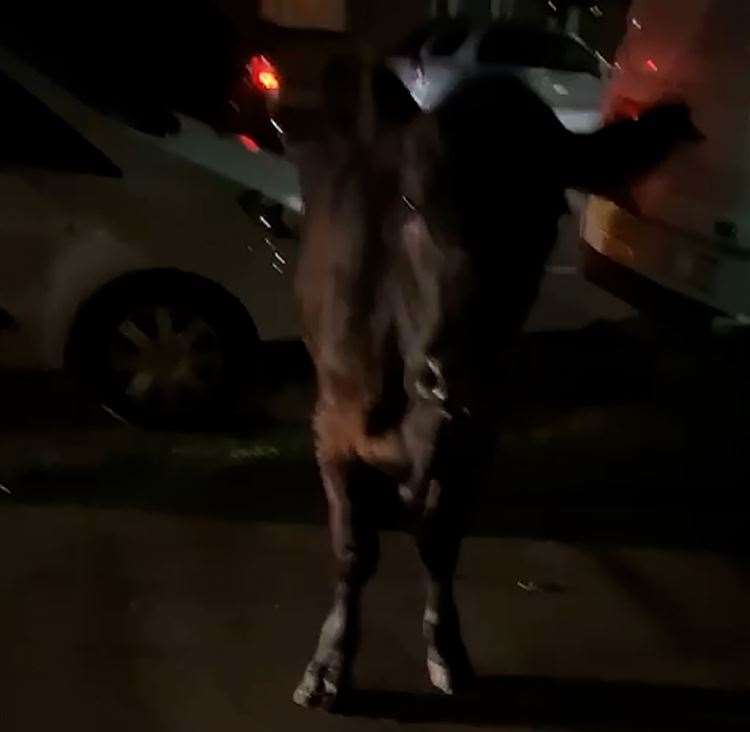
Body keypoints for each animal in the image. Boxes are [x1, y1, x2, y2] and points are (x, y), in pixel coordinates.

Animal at [290, 53, 704, 708]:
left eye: (548, 213)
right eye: (412, 200)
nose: (455, 371)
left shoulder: (479, 429)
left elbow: (440, 541)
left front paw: (447, 649)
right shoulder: (333, 425)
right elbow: (354, 550)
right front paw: (331, 663)